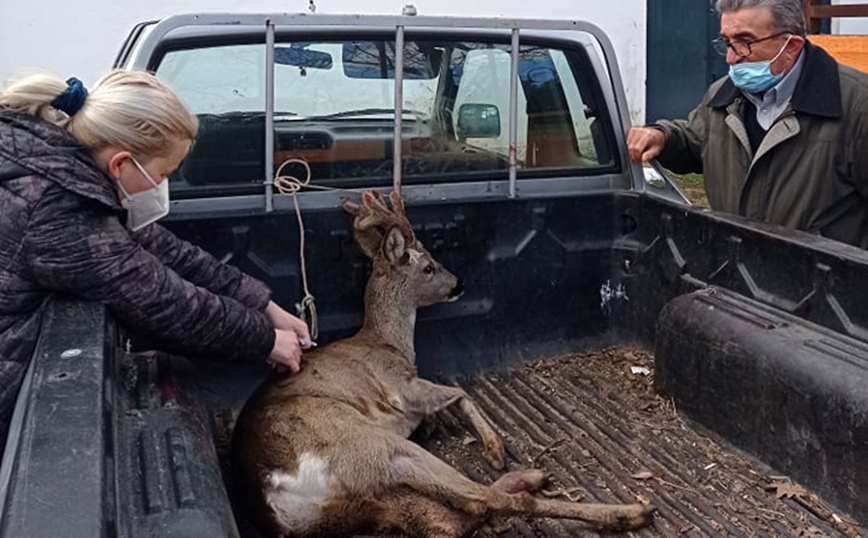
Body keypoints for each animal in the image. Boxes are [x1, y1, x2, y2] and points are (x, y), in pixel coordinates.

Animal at [231, 189, 652, 536]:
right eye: (429, 266)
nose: (459, 284)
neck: (391, 342)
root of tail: (273, 493)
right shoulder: (400, 386)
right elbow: (460, 392)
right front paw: (494, 446)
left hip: (372, 499)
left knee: (451, 518)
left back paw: (532, 476)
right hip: (371, 446)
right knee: (484, 501)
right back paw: (624, 511)